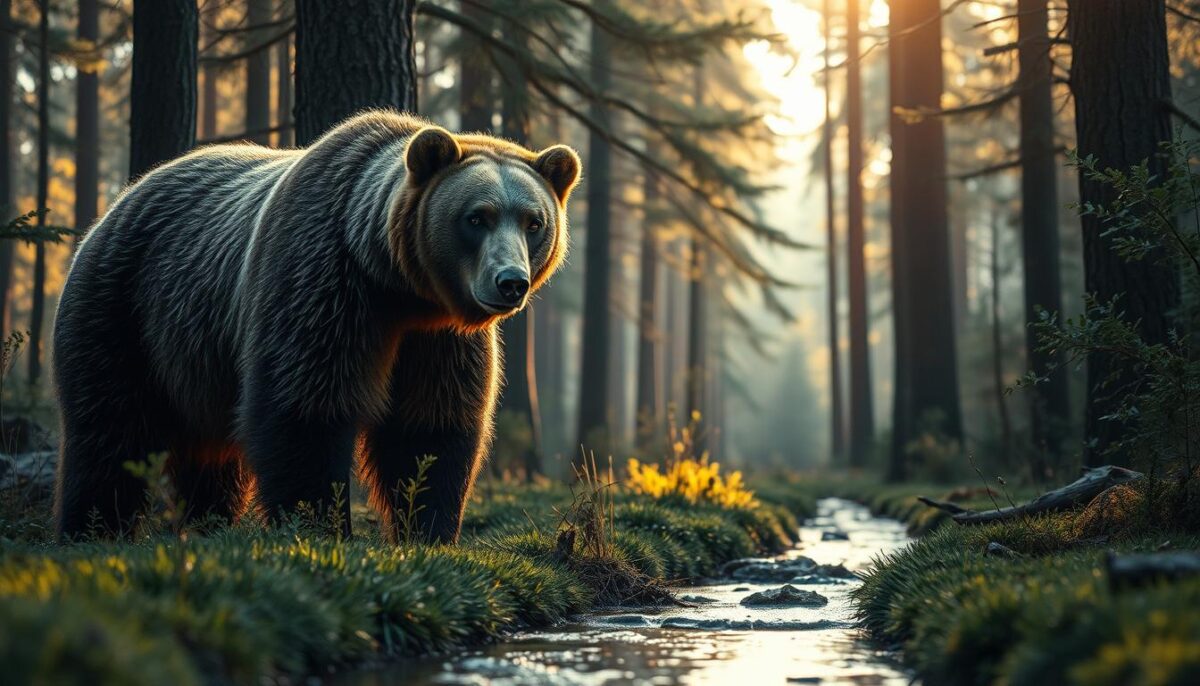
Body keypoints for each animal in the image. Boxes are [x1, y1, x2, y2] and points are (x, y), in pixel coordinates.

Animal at [52, 111, 580, 543]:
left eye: (533, 222)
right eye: (477, 217)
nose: (510, 281)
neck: (397, 286)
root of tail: (121, 198)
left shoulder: (434, 338)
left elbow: (430, 426)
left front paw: (428, 531)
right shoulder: (323, 285)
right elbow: (304, 408)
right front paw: (320, 528)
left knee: (212, 460)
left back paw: (208, 523)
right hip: (124, 309)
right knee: (109, 432)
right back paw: (92, 528)